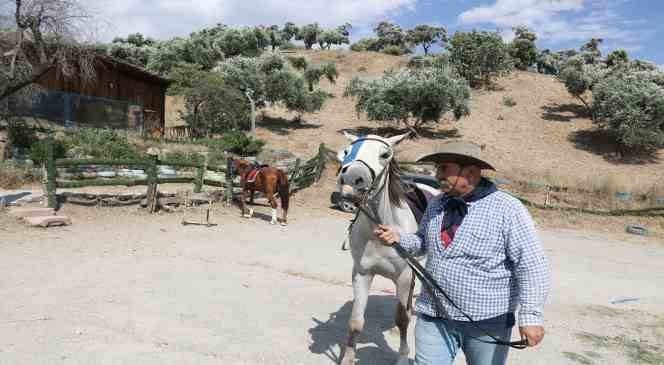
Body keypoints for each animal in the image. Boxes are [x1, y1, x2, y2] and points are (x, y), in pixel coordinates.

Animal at [338, 132, 440, 364]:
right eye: (347, 151)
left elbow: (402, 319)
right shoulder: (362, 274)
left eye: (385, 154)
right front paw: (348, 357)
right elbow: (356, 321)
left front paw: (402, 356)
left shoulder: (403, 276)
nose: (353, 179)